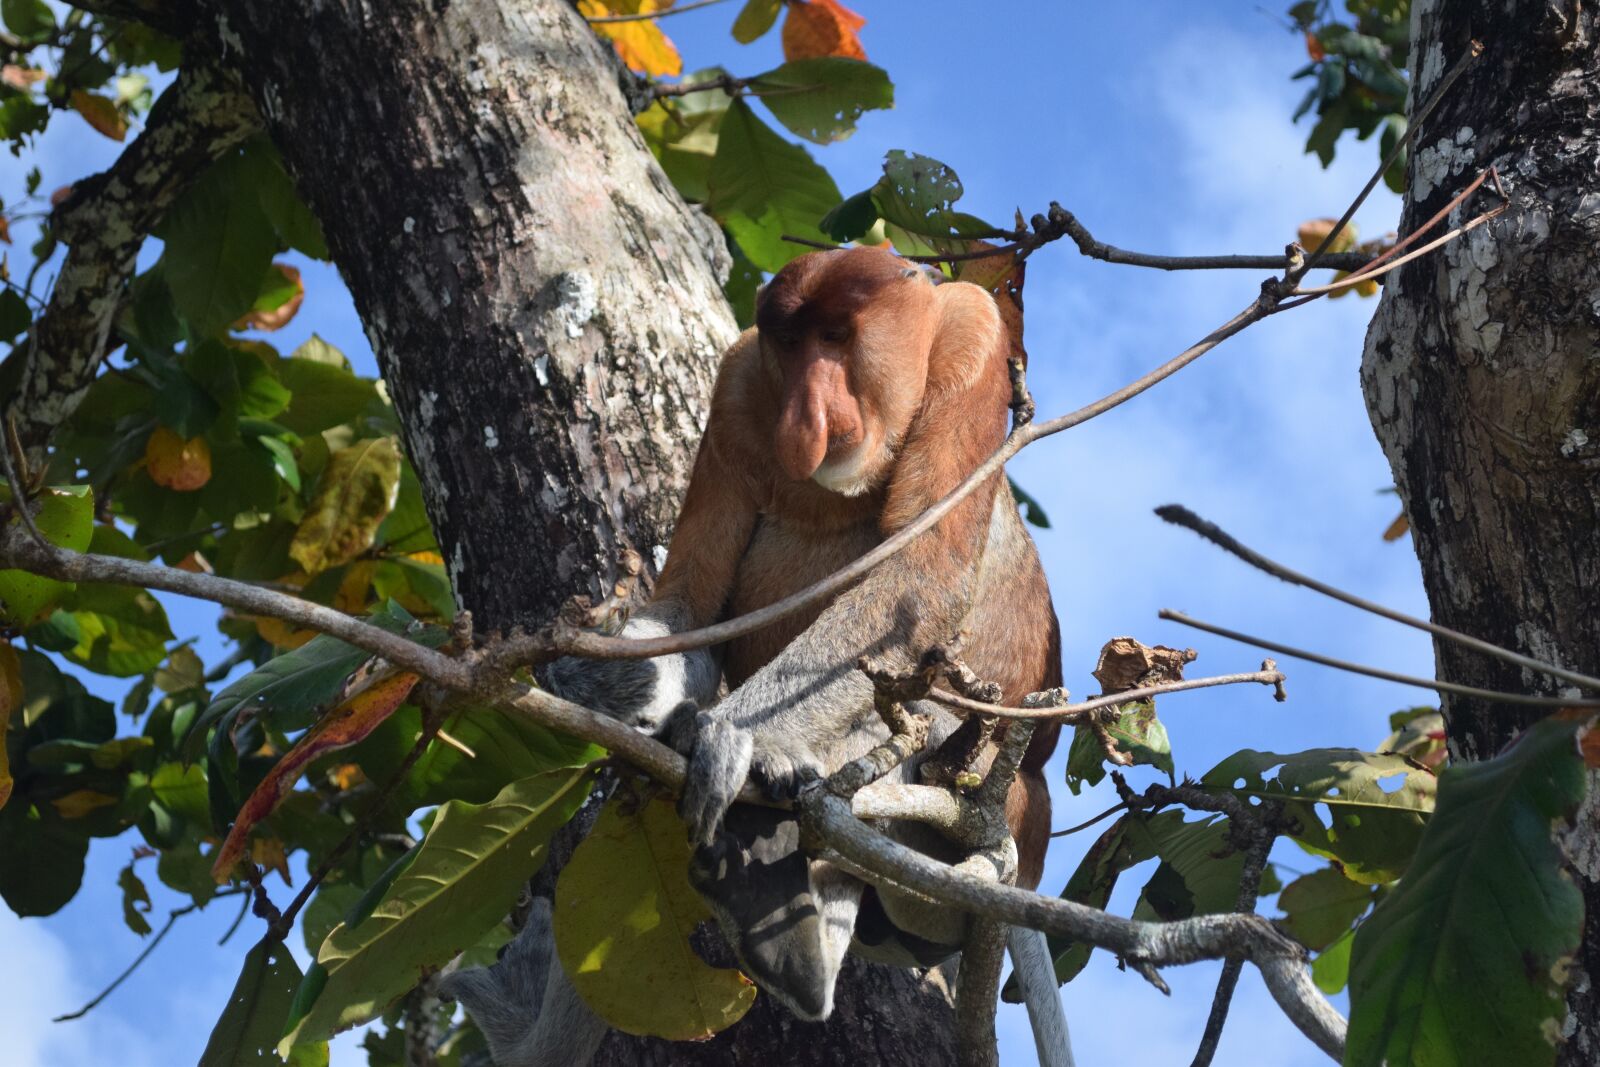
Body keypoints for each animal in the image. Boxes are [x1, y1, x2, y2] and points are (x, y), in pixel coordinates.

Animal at [444, 245, 1063, 1064]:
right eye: (791, 346)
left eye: (837, 337)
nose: (805, 417)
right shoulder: (740, 386)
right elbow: (691, 603)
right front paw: (605, 678)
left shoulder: (972, 336)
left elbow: (915, 584)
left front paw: (731, 736)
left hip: (993, 810)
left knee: (906, 708)